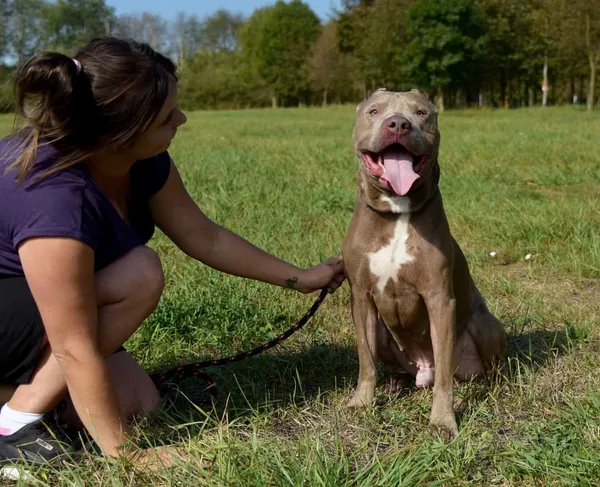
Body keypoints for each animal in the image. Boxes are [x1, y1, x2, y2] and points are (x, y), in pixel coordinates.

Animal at [342, 87, 506, 438]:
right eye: (374, 111)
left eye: (421, 113)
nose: (398, 124)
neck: (396, 211)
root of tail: (421, 371)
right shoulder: (361, 297)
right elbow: (365, 359)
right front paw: (362, 401)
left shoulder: (439, 299)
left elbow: (444, 378)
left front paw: (443, 421)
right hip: (384, 333)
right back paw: (394, 383)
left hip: (486, 325)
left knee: (479, 366)